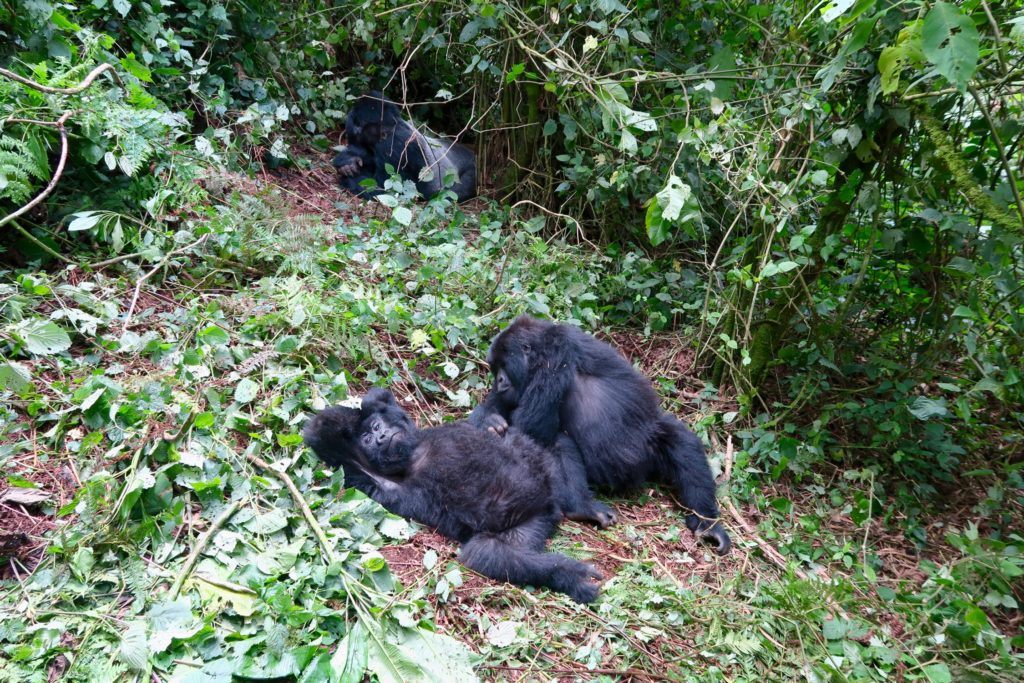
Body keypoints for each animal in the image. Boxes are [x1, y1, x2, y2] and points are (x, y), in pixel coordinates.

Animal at [303, 389, 606, 602]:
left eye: (377, 427)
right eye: (368, 439)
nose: (380, 437)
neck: (414, 453)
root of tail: (550, 508)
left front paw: (367, 405)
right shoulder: (374, 478)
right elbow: (324, 437)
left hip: (547, 484)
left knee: (557, 442)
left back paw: (582, 505)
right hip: (532, 521)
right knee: (489, 553)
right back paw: (566, 574)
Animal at [468, 315, 733, 557]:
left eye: (503, 365)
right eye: (494, 368)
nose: (499, 380)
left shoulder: (553, 356)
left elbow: (529, 426)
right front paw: (488, 418)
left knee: (678, 440)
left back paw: (707, 521)